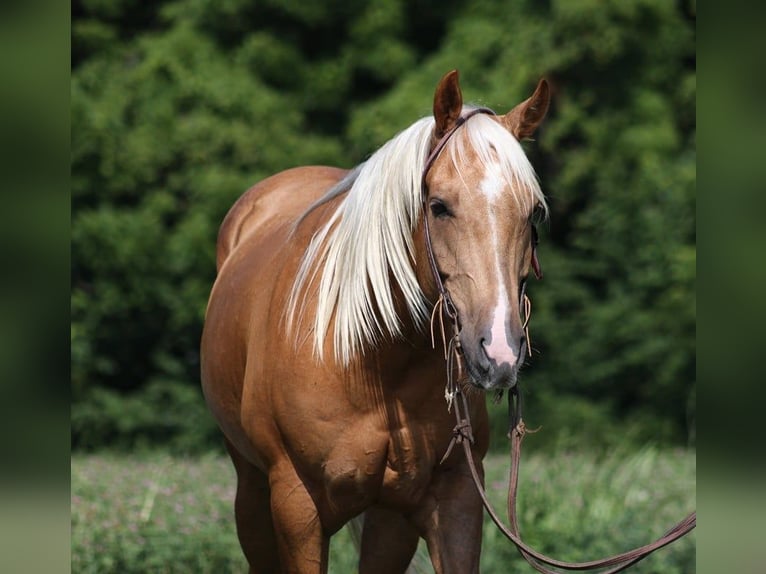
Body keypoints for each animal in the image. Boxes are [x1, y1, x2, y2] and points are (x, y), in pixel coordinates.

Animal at [200, 69, 550, 574]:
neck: (374, 363)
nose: (498, 351)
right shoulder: (295, 505)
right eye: (439, 206)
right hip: (252, 492)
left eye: (533, 213)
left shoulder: (454, 498)